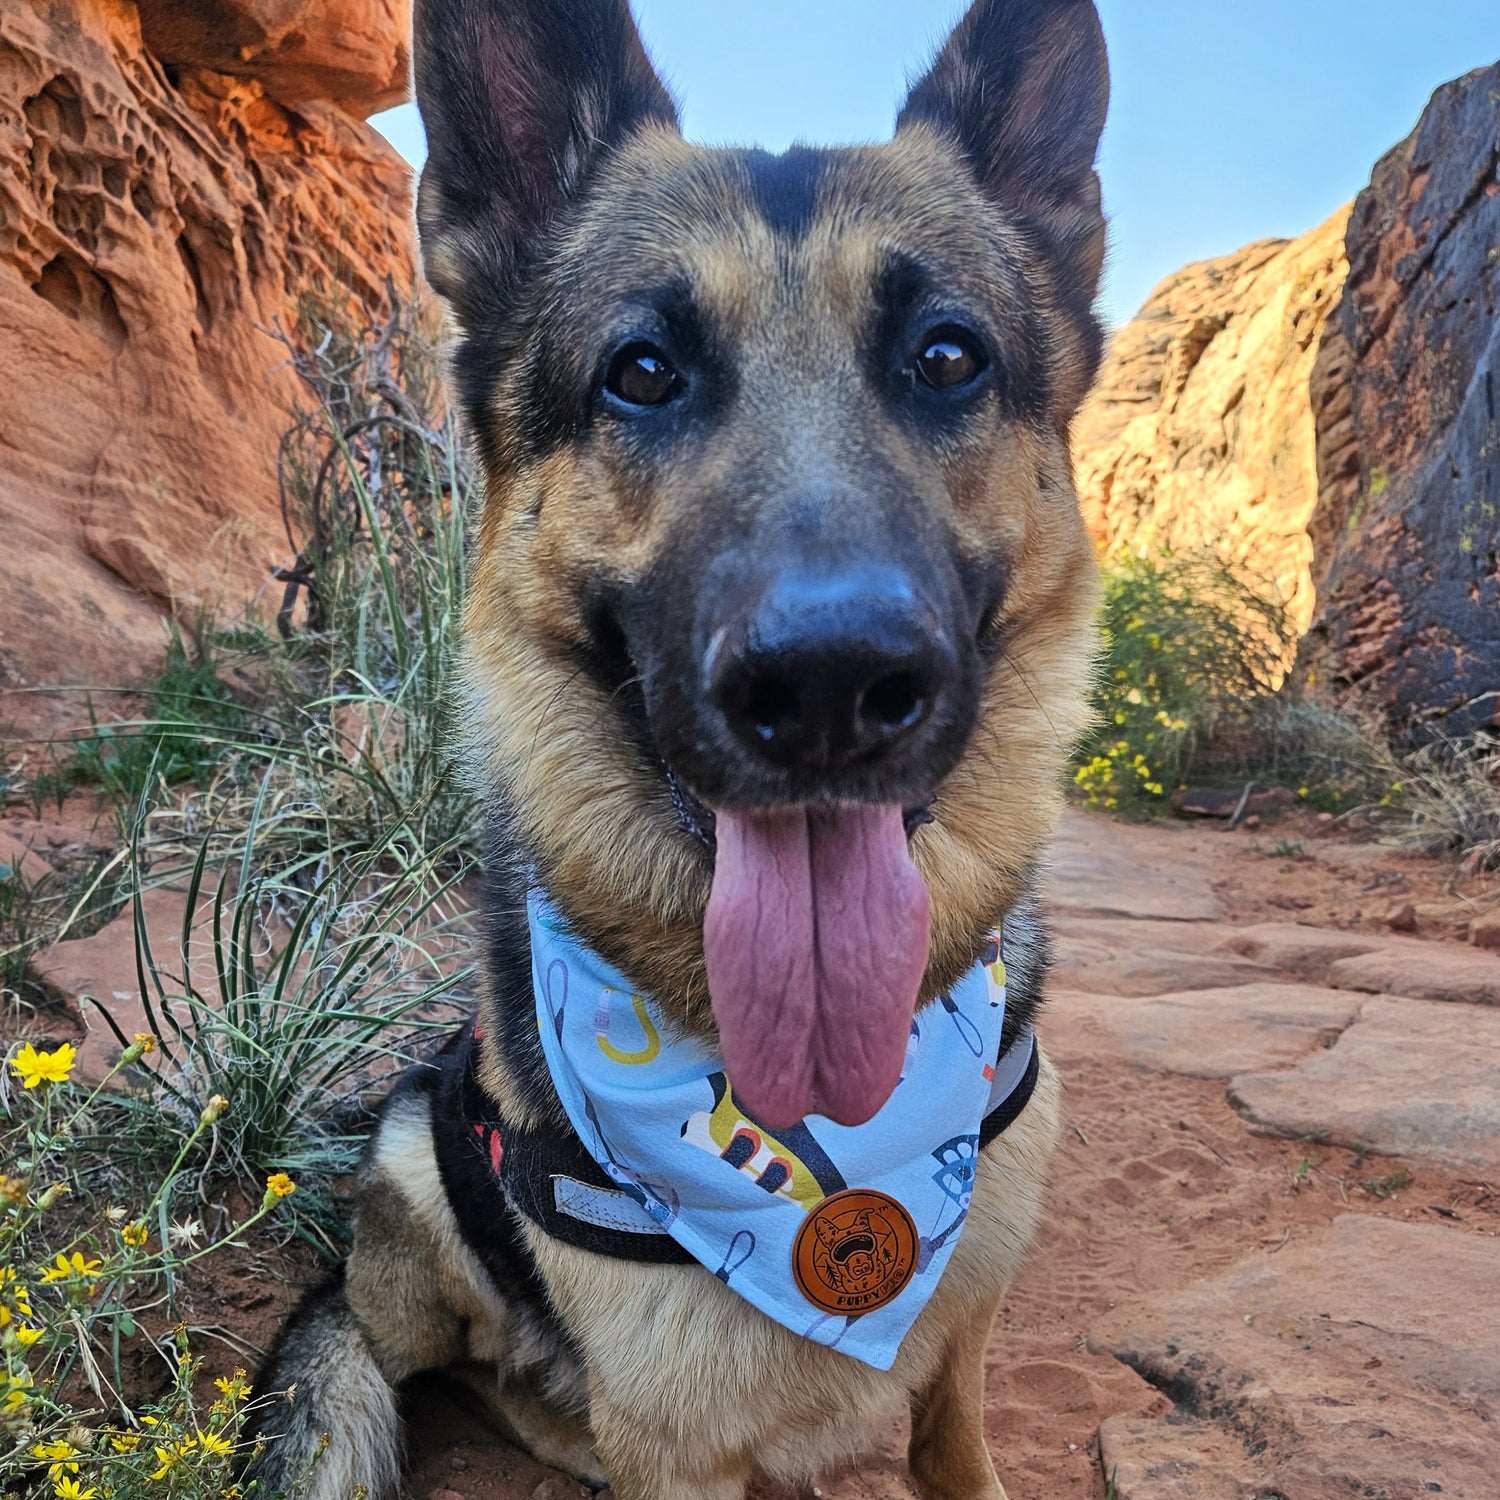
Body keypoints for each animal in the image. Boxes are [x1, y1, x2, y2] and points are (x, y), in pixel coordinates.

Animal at [246, 2, 1110, 1500]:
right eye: (642, 373)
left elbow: (954, 1438)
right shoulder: (669, 1444)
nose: (829, 685)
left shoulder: (965, 1333)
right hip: (415, 1155)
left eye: (949, 357)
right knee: (396, 1340)